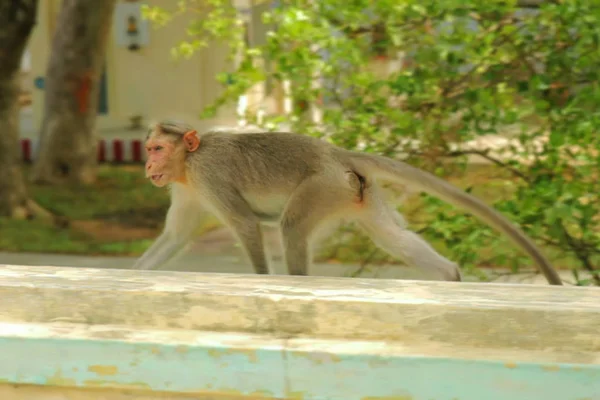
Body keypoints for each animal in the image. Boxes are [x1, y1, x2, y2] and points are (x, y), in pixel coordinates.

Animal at [131, 120, 564, 286]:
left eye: (156, 148)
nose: (148, 164)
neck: (188, 164)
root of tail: (337, 153)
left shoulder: (208, 175)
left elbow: (246, 225)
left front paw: (262, 281)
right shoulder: (185, 188)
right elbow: (176, 236)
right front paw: (133, 274)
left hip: (322, 187)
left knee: (291, 227)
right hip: (357, 192)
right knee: (392, 238)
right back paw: (450, 277)